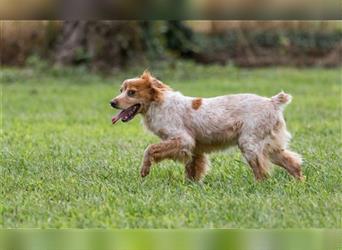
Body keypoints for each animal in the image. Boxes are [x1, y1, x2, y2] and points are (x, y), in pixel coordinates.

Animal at [109, 70, 302, 182]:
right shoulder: (194, 148)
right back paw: (299, 182)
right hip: (270, 147)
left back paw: (258, 185)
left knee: (261, 171)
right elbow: (192, 169)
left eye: (131, 92)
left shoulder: (183, 140)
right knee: (293, 162)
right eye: (121, 90)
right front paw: (191, 185)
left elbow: (149, 149)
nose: (112, 102)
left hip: (250, 145)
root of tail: (272, 102)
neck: (158, 104)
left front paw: (144, 170)